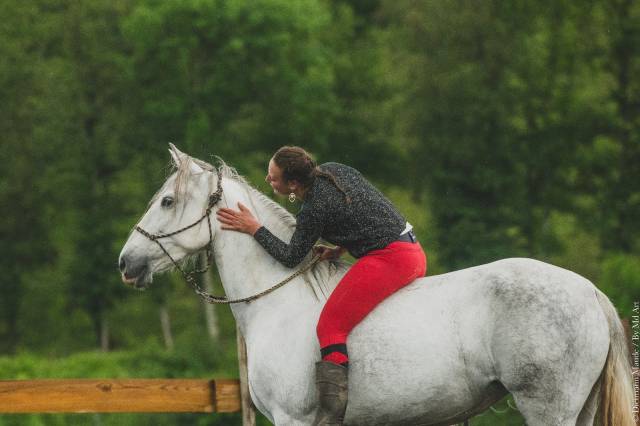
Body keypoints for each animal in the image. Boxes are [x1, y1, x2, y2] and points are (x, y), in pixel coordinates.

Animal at [118, 144, 634, 426]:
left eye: (166, 201)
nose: (126, 262)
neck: (277, 302)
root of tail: (590, 293)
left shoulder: (293, 418)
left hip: (548, 407)